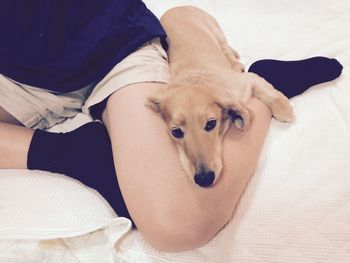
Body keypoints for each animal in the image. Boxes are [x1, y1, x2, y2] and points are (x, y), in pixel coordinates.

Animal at [146, 5, 294, 188]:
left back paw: (236, 63)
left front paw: (284, 109)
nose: (204, 179)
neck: (198, 81)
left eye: (211, 124)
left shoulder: (247, 81)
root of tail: (177, 7)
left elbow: (269, 93)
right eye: (176, 132)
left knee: (226, 48)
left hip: (216, 31)